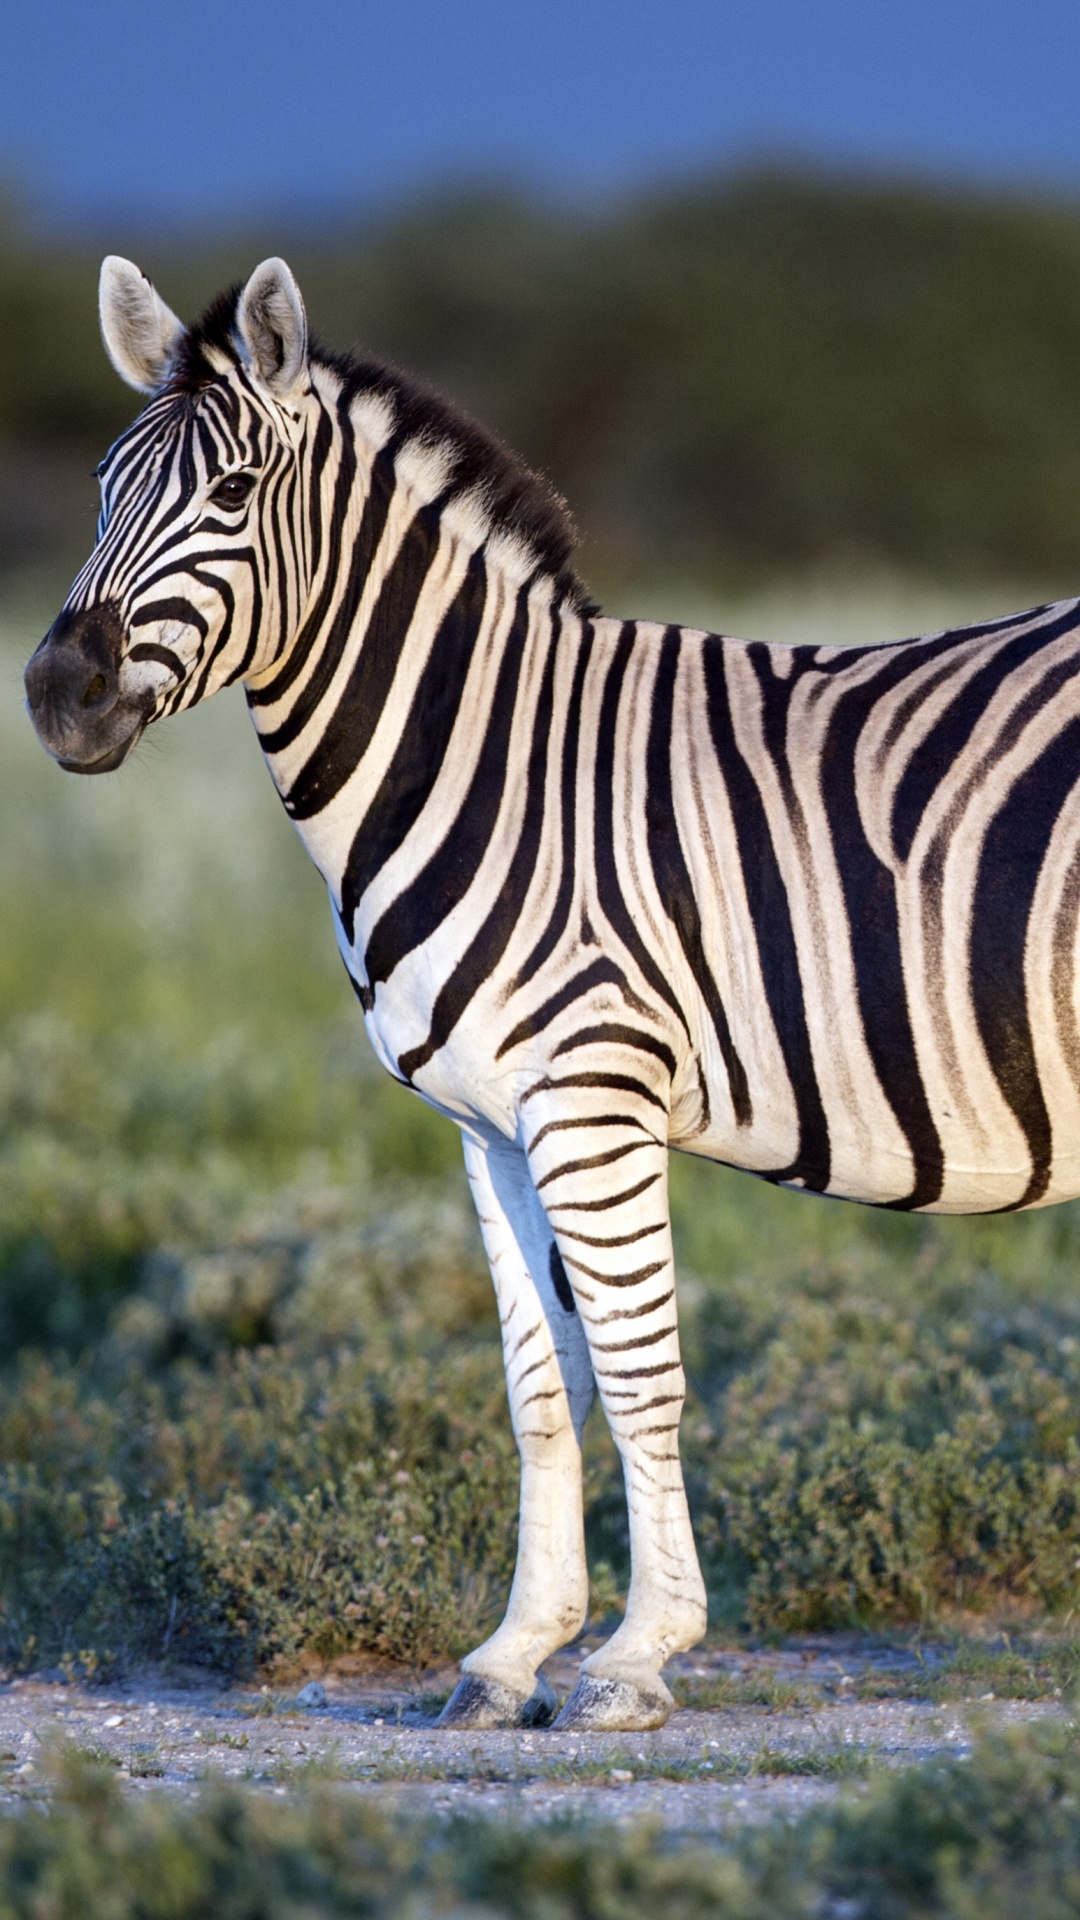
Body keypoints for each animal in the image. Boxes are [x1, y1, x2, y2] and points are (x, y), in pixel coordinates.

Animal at [23, 255, 1080, 1732]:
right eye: (103, 491)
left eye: (230, 496)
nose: (56, 694)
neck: (488, 757)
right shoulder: (490, 1125)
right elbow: (538, 1385)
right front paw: (516, 1651)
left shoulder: (594, 1092)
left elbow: (638, 1376)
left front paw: (637, 1657)